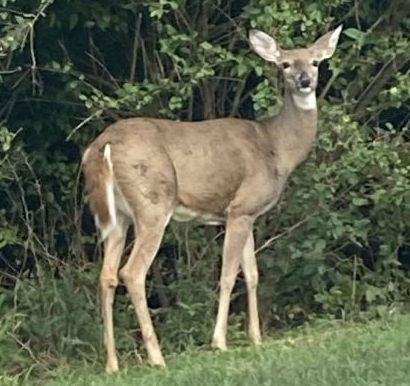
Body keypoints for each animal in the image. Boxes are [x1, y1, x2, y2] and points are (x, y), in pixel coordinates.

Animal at [81, 24, 342, 374]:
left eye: (315, 62)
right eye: (285, 64)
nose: (304, 80)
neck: (276, 149)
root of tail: (102, 147)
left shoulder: (247, 214)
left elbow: (253, 275)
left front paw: (256, 338)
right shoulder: (241, 206)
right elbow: (229, 274)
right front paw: (220, 342)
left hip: (115, 218)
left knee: (106, 275)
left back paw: (112, 364)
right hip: (153, 203)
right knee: (132, 273)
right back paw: (157, 357)